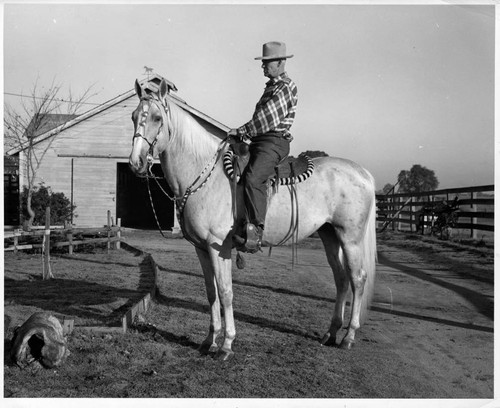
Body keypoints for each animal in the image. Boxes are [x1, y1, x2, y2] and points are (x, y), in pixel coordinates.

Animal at [128, 78, 376, 358]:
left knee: (358, 279)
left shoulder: (219, 246)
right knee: (341, 279)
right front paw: (209, 340)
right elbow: (211, 293)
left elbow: (225, 292)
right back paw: (331, 333)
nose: (136, 162)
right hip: (329, 235)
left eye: (157, 117)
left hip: (350, 238)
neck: (205, 174)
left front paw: (226, 344)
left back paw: (349, 336)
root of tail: (362, 172)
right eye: (134, 116)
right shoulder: (201, 249)